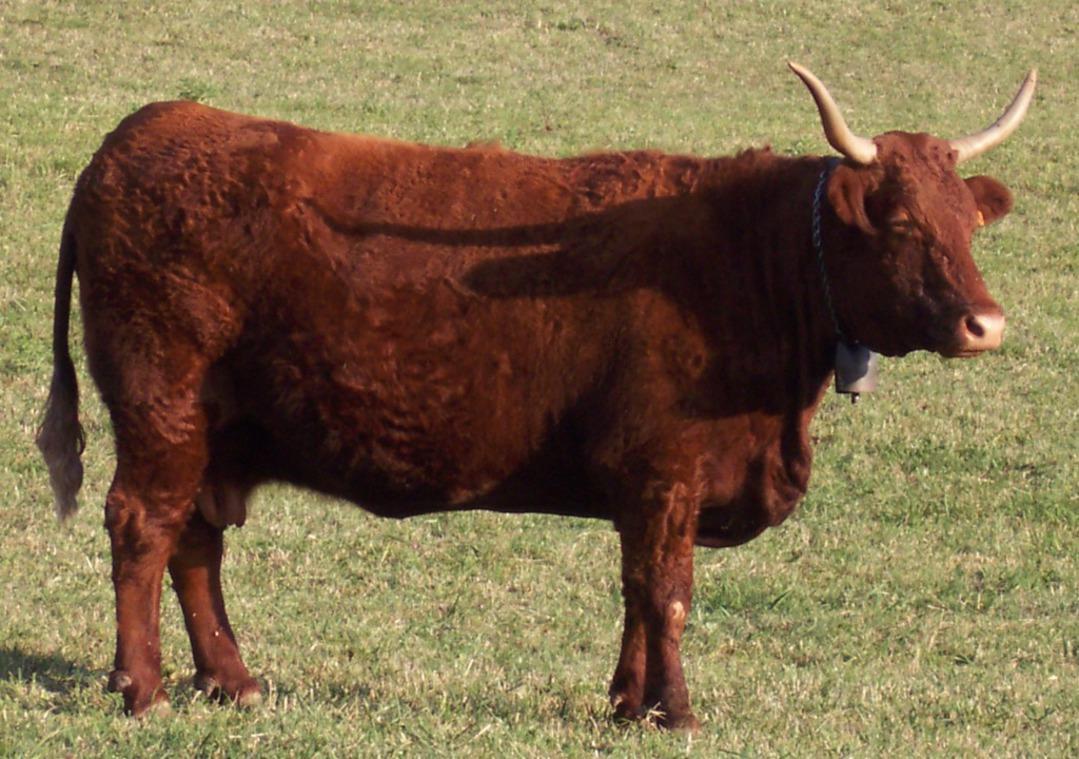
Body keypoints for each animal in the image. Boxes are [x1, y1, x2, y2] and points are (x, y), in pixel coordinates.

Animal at [37, 63, 1035, 728]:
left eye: (965, 220)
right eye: (899, 221)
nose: (985, 323)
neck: (745, 257)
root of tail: (142, 133)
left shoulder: (650, 487)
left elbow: (636, 589)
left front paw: (628, 701)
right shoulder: (662, 469)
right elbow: (666, 589)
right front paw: (675, 708)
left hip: (214, 432)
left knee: (195, 543)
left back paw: (231, 680)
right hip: (160, 410)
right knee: (143, 528)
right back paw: (143, 687)